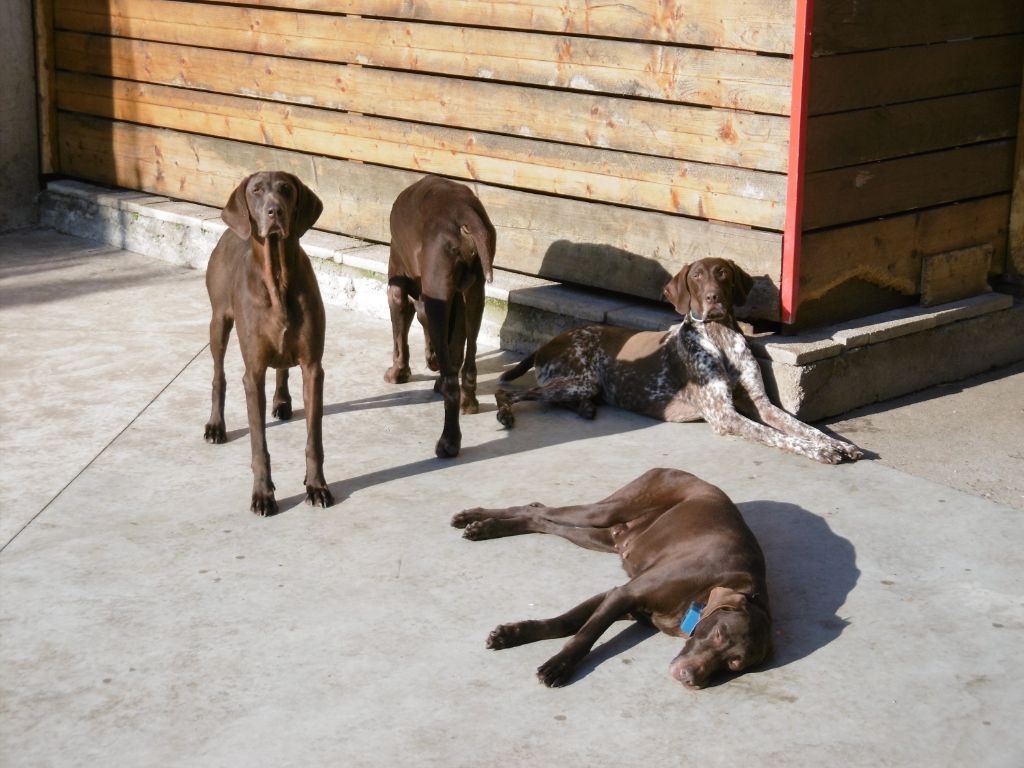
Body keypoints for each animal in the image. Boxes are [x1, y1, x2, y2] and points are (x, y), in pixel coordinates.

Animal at [205, 171, 333, 514]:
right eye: (257, 191)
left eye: (286, 190)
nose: (274, 211)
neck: (277, 278)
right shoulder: (254, 373)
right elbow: (258, 444)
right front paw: (263, 494)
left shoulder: (313, 368)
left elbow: (314, 440)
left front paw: (317, 486)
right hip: (218, 323)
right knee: (218, 375)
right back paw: (215, 425)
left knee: (283, 369)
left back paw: (282, 401)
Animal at [385, 177, 495, 460]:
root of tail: (464, 213)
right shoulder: (456, 297)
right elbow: (455, 347)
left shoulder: (399, 287)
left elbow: (400, 336)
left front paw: (398, 372)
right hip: (475, 292)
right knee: (468, 358)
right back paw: (469, 401)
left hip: (438, 294)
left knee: (451, 386)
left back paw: (449, 442)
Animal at [452, 468, 770, 692]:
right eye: (718, 634)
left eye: (734, 663)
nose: (689, 678)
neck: (701, 596)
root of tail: (683, 472)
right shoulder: (624, 594)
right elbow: (584, 633)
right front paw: (558, 666)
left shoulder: (621, 601)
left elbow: (567, 624)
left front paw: (513, 634)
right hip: (607, 510)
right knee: (539, 509)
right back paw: (476, 520)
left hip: (600, 536)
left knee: (541, 519)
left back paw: (486, 527)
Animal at [491, 257, 860, 462]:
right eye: (696, 276)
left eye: (722, 273)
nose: (713, 298)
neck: (718, 337)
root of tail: (549, 342)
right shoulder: (725, 416)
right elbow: (781, 436)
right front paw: (822, 452)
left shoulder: (762, 404)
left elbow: (804, 427)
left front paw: (837, 444)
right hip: (579, 379)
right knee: (508, 392)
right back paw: (506, 414)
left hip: (582, 385)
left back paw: (586, 409)